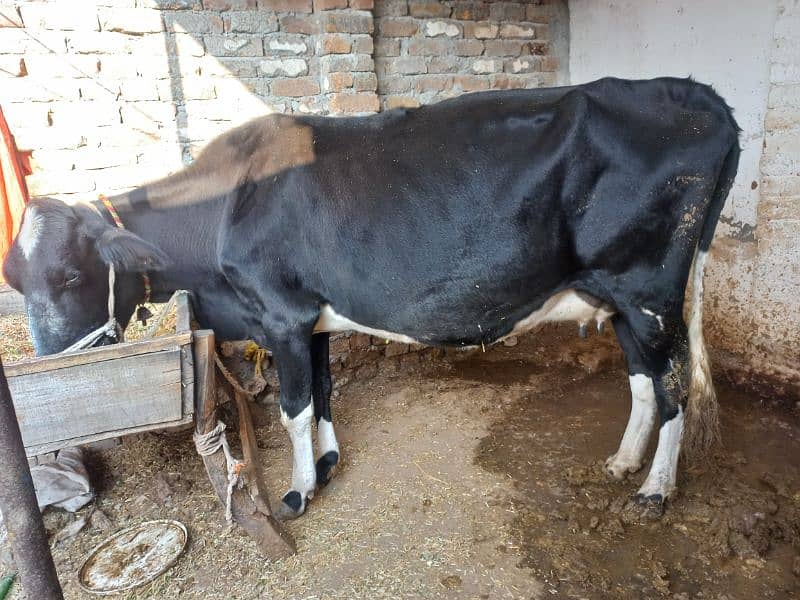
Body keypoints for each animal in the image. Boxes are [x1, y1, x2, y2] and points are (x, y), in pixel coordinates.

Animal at [3, 77, 740, 520]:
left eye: (71, 278)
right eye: (16, 282)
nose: (52, 369)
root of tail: (702, 97)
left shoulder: (282, 314)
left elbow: (294, 410)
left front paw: (299, 490)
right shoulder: (314, 319)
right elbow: (325, 395)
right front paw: (329, 463)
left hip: (649, 288)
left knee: (674, 385)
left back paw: (654, 490)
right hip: (616, 294)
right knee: (644, 381)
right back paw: (623, 463)